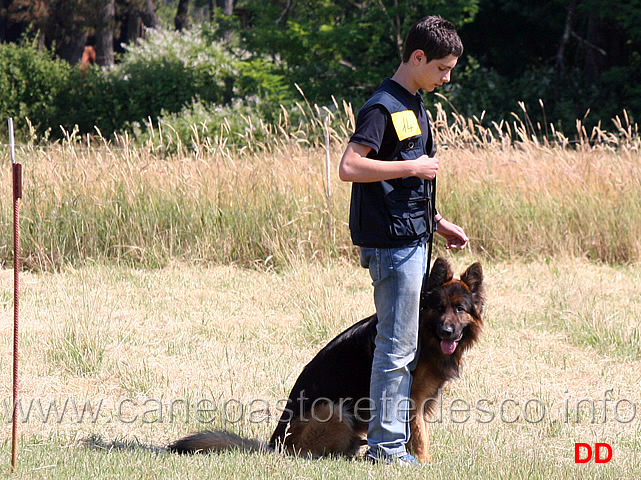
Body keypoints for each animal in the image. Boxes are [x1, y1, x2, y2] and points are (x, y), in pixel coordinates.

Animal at [168, 256, 482, 464]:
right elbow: (419, 435)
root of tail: (274, 444)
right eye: (439, 307)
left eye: (459, 309)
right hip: (333, 410)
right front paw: (421, 462)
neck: (423, 332)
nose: (447, 331)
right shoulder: (411, 398)